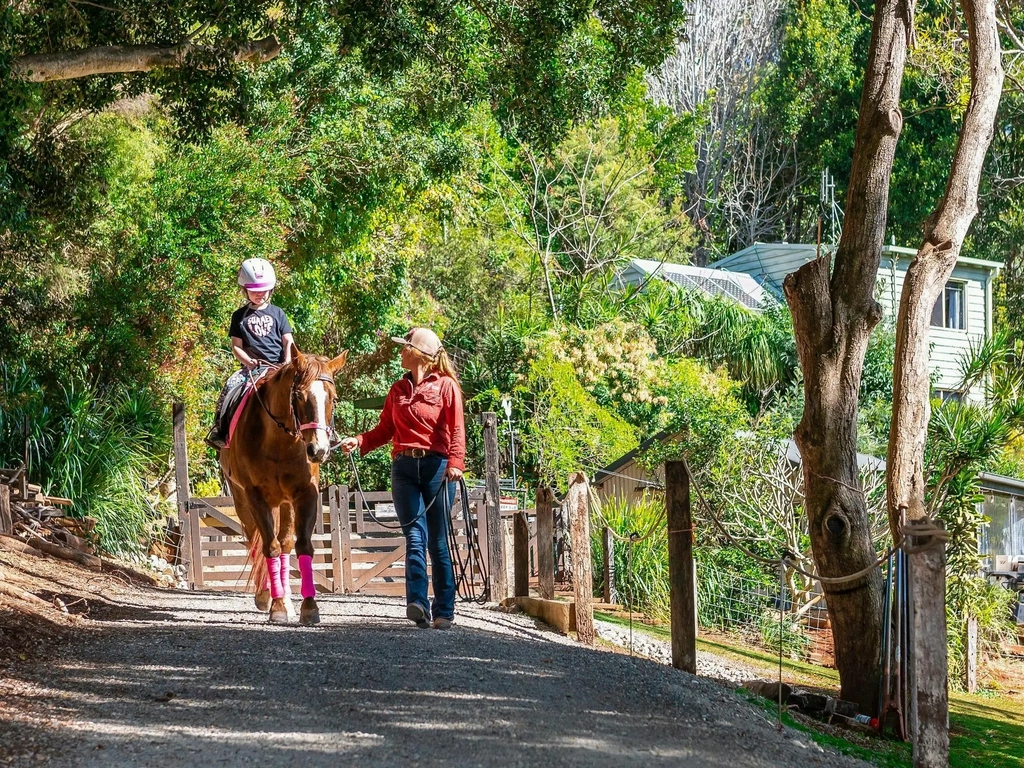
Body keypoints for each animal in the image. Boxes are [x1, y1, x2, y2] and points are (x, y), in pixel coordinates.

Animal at [219, 345, 347, 625]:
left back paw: (287, 599)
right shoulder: (255, 496)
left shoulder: (306, 494)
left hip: (285, 502)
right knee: (256, 542)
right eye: (298, 395)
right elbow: (269, 547)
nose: (319, 450)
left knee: (286, 543)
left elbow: (302, 545)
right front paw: (276, 605)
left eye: (333, 398)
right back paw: (266, 595)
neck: (279, 442)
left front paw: (308, 606)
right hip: (242, 500)